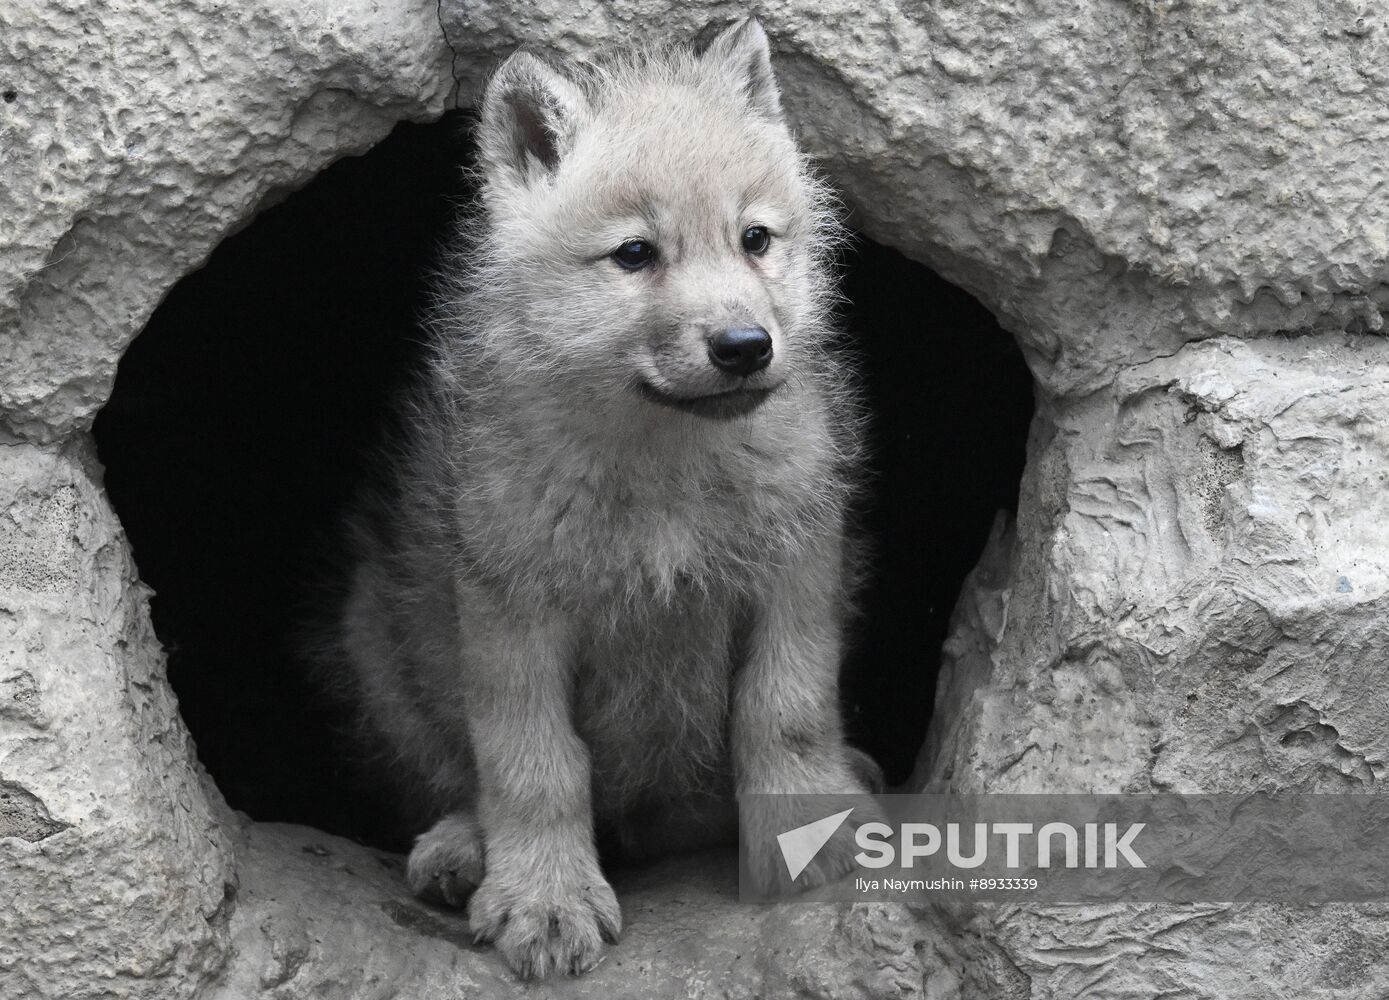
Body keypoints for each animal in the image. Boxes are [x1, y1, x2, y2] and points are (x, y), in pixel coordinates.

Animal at [330, 18, 879, 979]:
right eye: (634, 254)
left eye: (756, 239)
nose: (745, 346)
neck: (662, 466)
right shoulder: (512, 609)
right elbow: (532, 764)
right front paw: (545, 900)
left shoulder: (797, 566)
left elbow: (786, 712)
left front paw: (811, 829)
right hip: (375, 641)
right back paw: (462, 848)